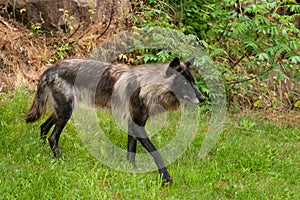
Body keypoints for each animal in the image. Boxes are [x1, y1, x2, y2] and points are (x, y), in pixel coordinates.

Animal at [25, 56, 205, 184]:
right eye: (186, 84)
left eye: (194, 82)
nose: (203, 98)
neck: (149, 86)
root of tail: (51, 68)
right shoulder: (138, 126)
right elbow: (157, 153)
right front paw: (166, 178)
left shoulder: (134, 125)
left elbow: (131, 152)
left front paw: (132, 171)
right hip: (66, 112)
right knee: (52, 137)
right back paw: (60, 159)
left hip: (63, 111)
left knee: (43, 127)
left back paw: (41, 151)